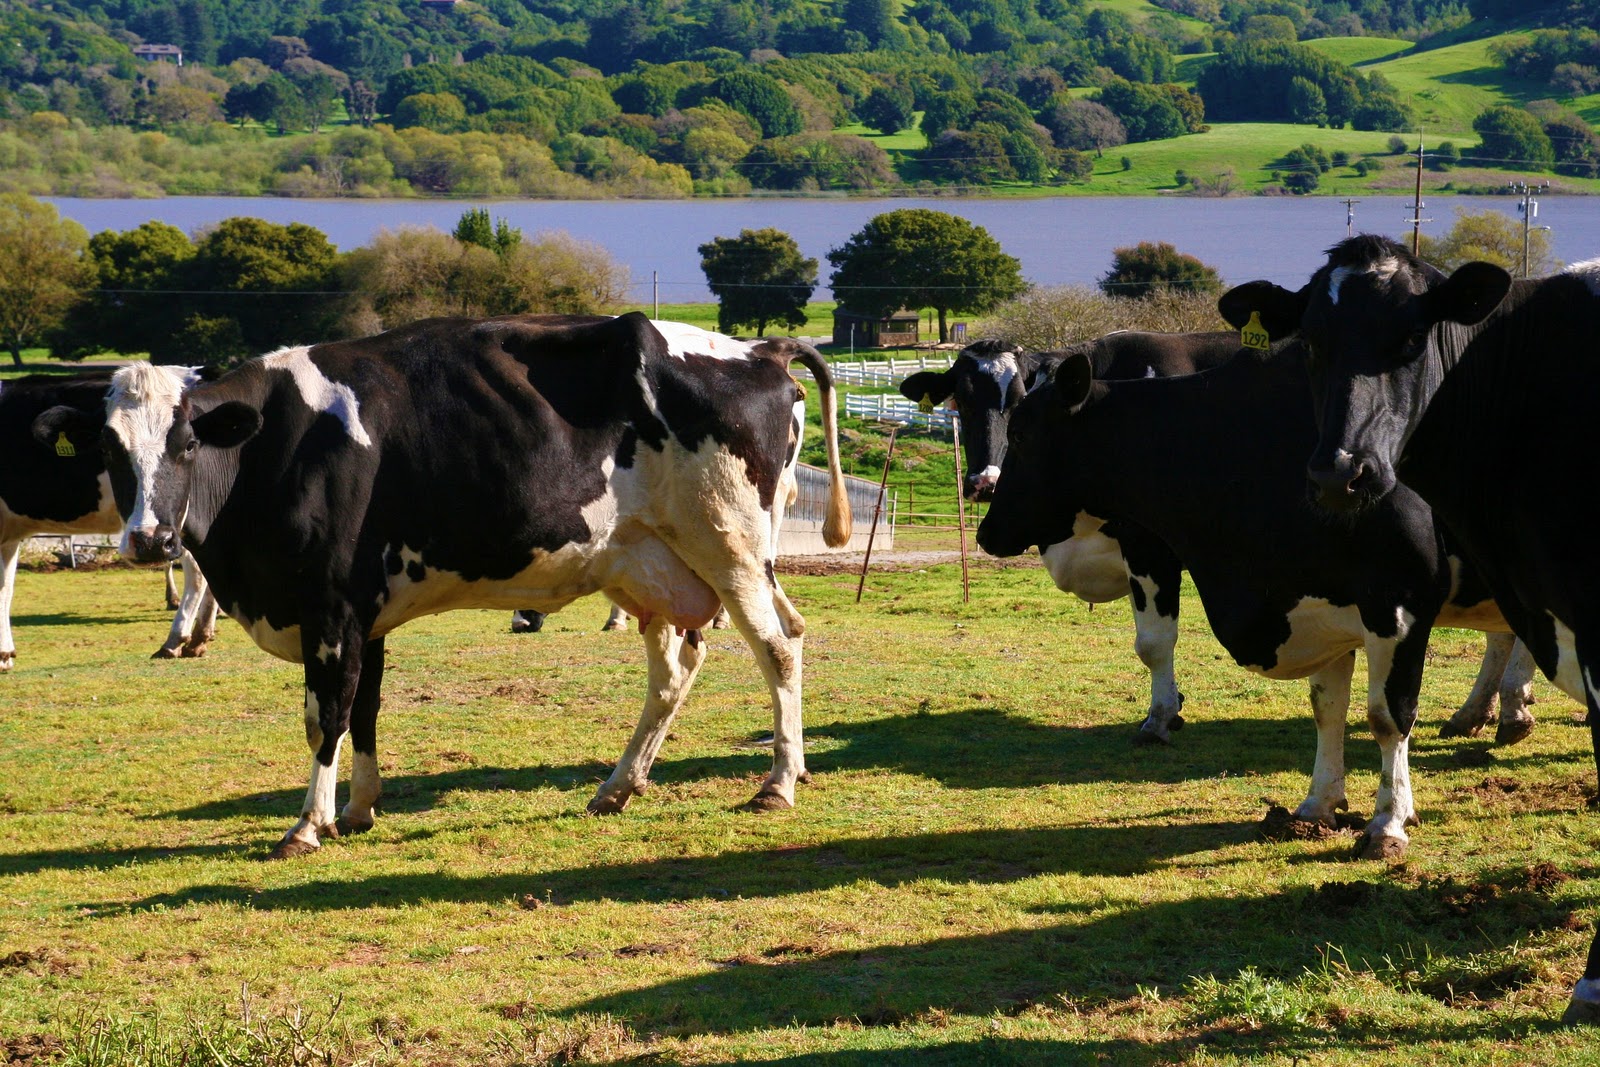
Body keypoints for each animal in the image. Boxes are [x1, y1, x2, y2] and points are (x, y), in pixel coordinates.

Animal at [2, 371, 217, 670]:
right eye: (105, 448)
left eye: (188, 444)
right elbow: (6, 586)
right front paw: (5, 654)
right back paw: (200, 635)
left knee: (196, 572)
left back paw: (176, 638)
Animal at [70, 313, 850, 859]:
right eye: (109, 447)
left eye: (187, 443)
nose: (151, 539)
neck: (278, 445)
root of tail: (757, 351)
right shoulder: (365, 612)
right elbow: (365, 708)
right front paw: (357, 809)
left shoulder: (330, 607)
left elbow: (327, 714)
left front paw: (307, 825)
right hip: (650, 564)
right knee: (677, 668)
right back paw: (618, 785)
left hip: (732, 549)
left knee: (778, 648)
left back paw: (777, 783)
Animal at [975, 338, 1516, 861]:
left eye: (1020, 434)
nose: (985, 531)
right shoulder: (1323, 604)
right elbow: (1327, 708)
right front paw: (1317, 805)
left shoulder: (1398, 603)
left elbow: (1388, 717)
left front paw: (1388, 823)